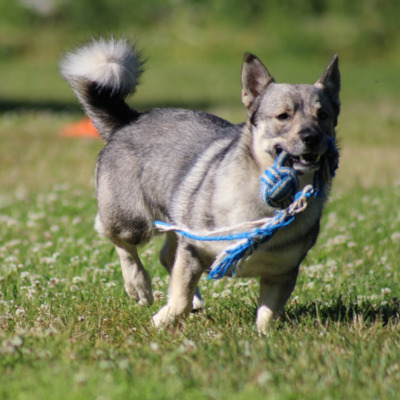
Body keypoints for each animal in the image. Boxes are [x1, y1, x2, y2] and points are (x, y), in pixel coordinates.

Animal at [60, 37, 340, 332]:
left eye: (323, 115)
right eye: (283, 116)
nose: (311, 137)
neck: (264, 206)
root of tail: (131, 120)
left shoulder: (282, 273)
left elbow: (268, 314)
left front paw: (264, 336)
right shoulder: (194, 250)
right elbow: (179, 298)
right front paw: (162, 320)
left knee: (167, 255)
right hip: (133, 222)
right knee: (117, 238)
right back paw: (139, 286)